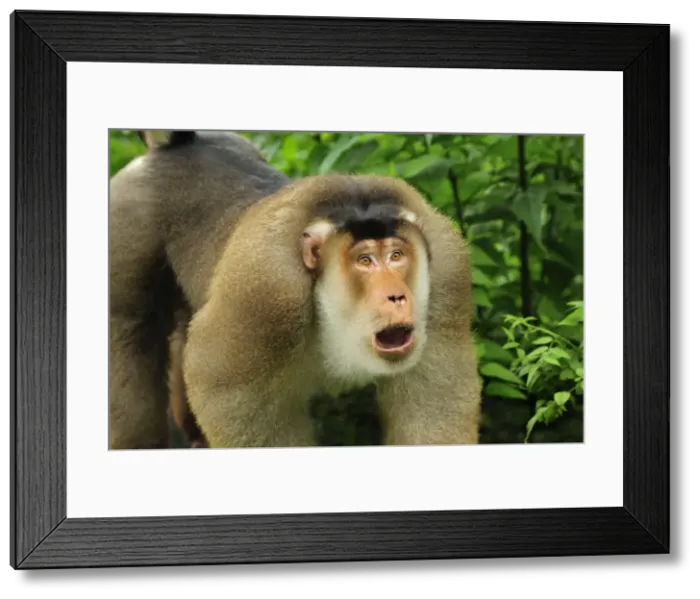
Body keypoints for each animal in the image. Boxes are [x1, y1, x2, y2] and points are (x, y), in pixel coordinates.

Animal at [109, 129, 481, 449]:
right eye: (365, 260)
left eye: (396, 255)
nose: (397, 296)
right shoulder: (267, 289)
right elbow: (220, 386)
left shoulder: (448, 268)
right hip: (129, 216)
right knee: (130, 331)